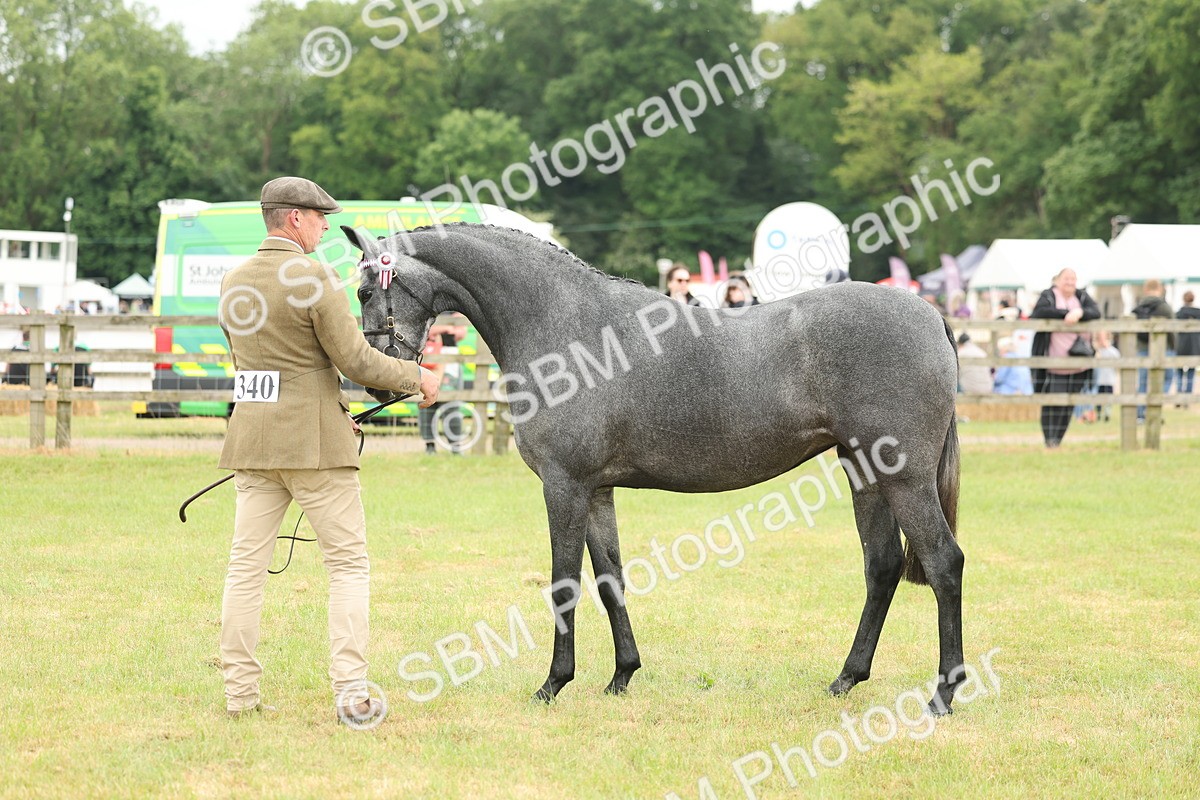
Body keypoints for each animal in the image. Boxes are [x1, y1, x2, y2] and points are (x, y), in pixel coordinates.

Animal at [342, 222, 965, 715]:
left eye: (366, 288)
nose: (376, 386)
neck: (562, 325)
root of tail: (930, 316)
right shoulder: (596, 491)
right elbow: (609, 578)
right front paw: (621, 675)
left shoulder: (564, 486)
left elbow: (564, 582)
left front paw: (553, 684)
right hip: (866, 475)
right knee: (882, 568)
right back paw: (845, 679)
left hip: (904, 478)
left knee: (942, 562)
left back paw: (943, 694)